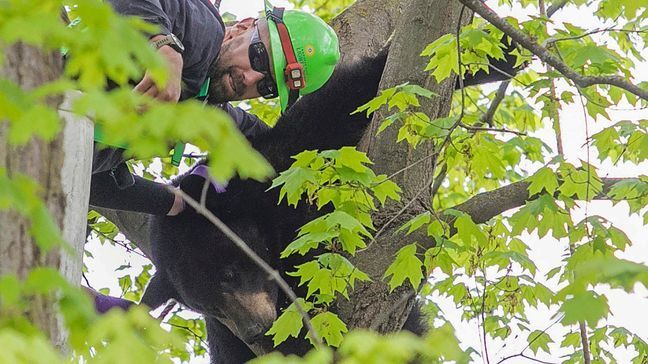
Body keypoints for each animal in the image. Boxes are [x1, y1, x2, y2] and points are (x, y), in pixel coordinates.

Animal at [142, 46, 520, 364]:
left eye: (229, 274)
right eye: (205, 306)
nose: (254, 330)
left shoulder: (289, 160)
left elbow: (354, 93)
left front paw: (501, 55)